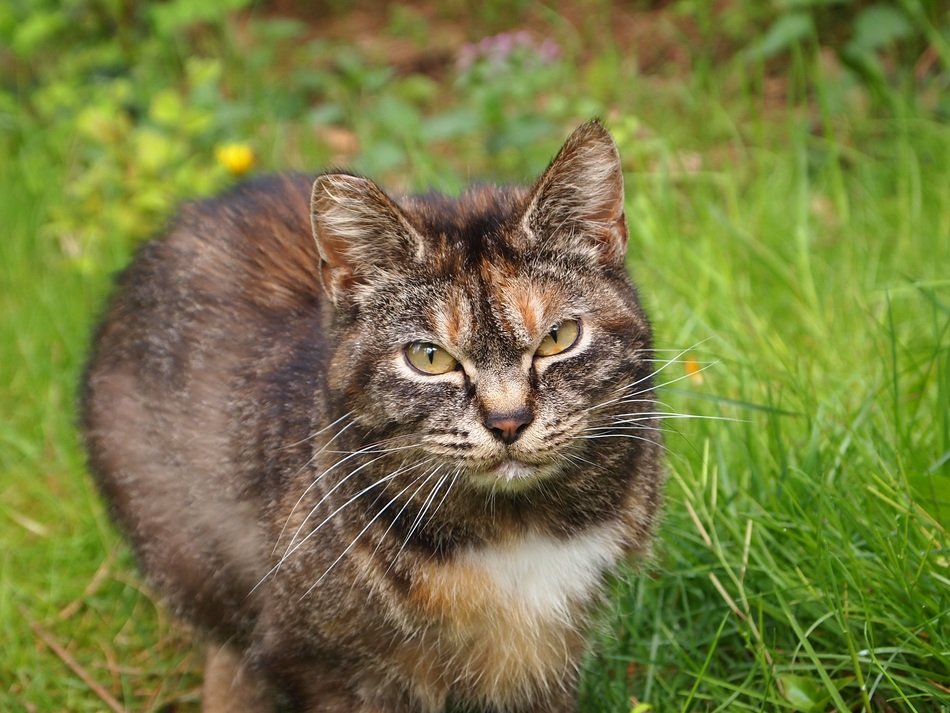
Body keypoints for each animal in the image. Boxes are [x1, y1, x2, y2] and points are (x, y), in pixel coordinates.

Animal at [80, 122, 660, 712]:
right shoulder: (328, 668)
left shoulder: (545, 664)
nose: (508, 422)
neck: (517, 531)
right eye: (429, 358)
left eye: (559, 338)